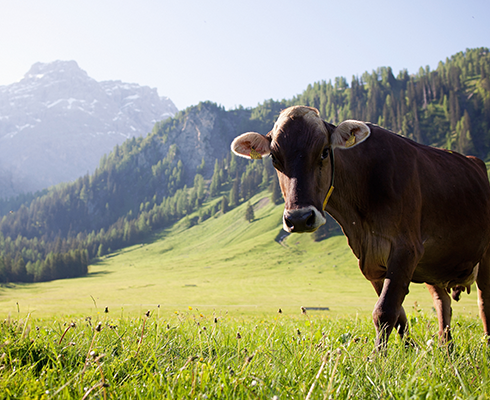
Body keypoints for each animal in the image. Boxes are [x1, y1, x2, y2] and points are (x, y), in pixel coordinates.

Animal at [232, 105, 490, 346]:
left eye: (324, 152)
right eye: (275, 158)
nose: (299, 218)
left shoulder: (406, 249)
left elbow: (385, 311)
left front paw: (378, 360)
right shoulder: (371, 259)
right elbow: (398, 315)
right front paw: (409, 350)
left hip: (484, 255)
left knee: (484, 303)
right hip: (433, 266)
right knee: (443, 305)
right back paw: (448, 351)